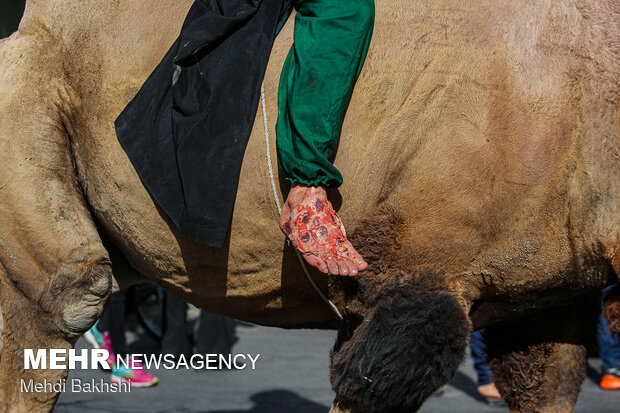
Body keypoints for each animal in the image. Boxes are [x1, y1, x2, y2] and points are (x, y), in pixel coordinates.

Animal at [0, 0, 616, 410]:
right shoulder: (420, 264)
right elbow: (385, 364)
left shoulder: (547, 291)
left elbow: (548, 374)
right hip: (30, 87)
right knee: (62, 299)